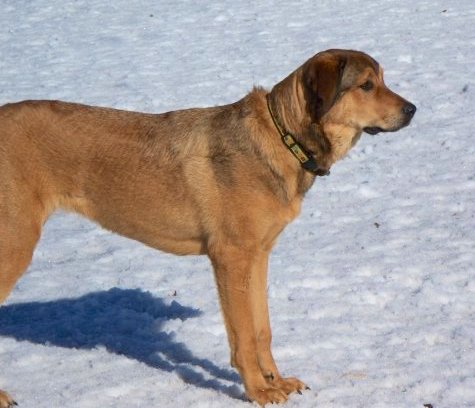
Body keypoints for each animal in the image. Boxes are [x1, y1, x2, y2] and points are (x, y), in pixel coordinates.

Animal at [0, 49, 414, 406]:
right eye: (366, 85)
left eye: (382, 79)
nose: (413, 109)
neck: (284, 138)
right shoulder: (230, 258)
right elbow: (243, 336)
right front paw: (257, 392)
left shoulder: (257, 256)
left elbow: (262, 330)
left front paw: (276, 381)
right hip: (15, 244)